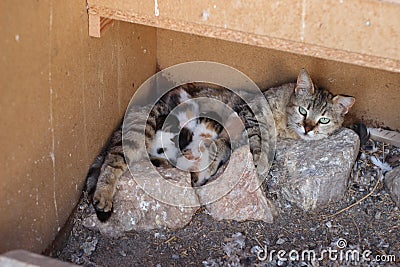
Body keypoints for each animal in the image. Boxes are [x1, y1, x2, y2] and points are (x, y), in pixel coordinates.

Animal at [86, 69, 354, 222]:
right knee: (113, 160)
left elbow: (228, 148)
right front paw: (254, 165)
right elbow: (252, 143)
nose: (308, 128)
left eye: (324, 119)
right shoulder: (246, 115)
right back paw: (103, 196)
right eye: (303, 110)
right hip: (142, 130)